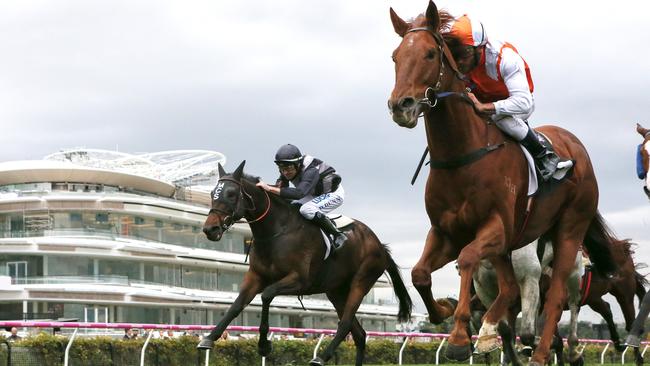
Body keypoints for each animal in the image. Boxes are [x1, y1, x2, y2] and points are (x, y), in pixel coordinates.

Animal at [196, 162, 410, 364]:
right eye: (212, 193)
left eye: (231, 194)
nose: (210, 229)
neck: (277, 231)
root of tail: (379, 245)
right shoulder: (256, 276)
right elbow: (236, 305)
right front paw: (209, 338)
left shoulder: (300, 280)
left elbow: (266, 295)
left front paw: (264, 345)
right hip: (336, 291)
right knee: (359, 334)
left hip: (361, 281)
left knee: (346, 323)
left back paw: (321, 357)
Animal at [388, 2, 616, 364]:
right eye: (396, 56)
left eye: (429, 54)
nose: (401, 106)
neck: (462, 155)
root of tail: (575, 145)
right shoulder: (445, 232)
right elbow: (420, 274)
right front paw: (447, 311)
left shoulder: (495, 226)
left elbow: (469, 259)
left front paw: (459, 337)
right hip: (513, 244)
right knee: (508, 287)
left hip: (569, 230)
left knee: (555, 297)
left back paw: (539, 352)